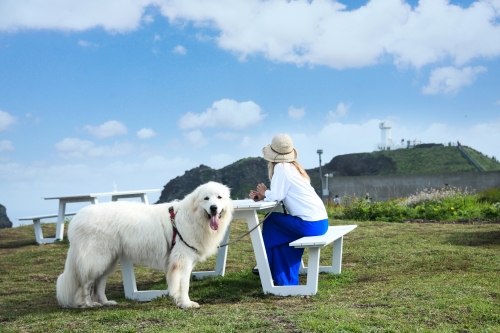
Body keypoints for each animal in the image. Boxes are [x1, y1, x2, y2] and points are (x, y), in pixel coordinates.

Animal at [56, 180, 232, 308]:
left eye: (219, 197)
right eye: (206, 198)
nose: (214, 208)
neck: (192, 217)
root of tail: (76, 219)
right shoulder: (182, 261)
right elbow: (184, 285)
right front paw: (186, 304)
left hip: (108, 262)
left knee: (99, 284)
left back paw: (105, 302)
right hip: (96, 260)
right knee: (85, 284)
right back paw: (89, 304)